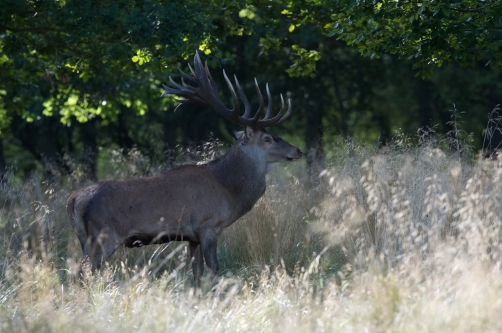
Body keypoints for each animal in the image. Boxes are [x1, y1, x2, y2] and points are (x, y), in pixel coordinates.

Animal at [66, 52, 302, 282]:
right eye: (267, 138)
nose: (298, 150)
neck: (227, 190)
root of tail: (74, 199)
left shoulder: (191, 237)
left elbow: (196, 274)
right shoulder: (208, 226)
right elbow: (213, 271)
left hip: (84, 239)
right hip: (103, 236)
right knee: (81, 274)